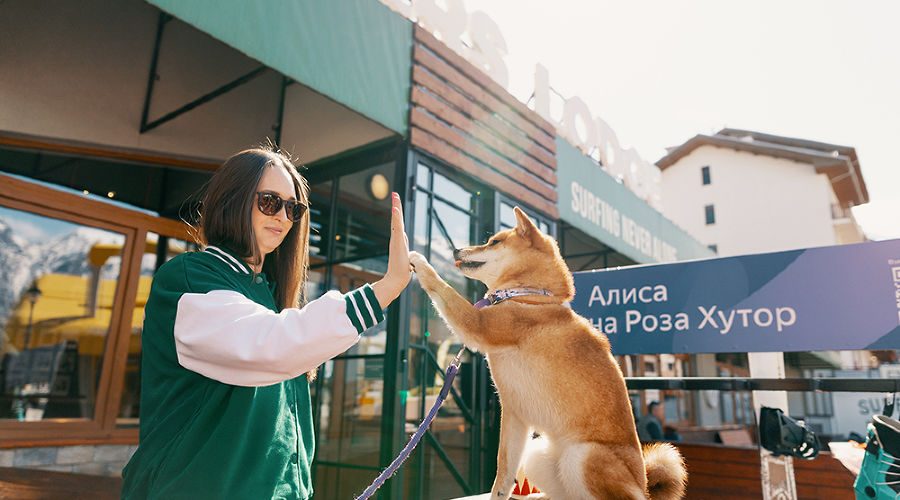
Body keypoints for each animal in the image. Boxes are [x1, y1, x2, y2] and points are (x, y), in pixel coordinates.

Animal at [410, 207, 688, 500]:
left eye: (494, 242)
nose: (456, 249)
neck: (530, 296)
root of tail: (643, 487)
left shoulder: (477, 324)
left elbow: (443, 288)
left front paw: (419, 259)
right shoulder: (515, 415)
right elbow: (503, 475)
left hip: (582, 455)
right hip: (538, 453)